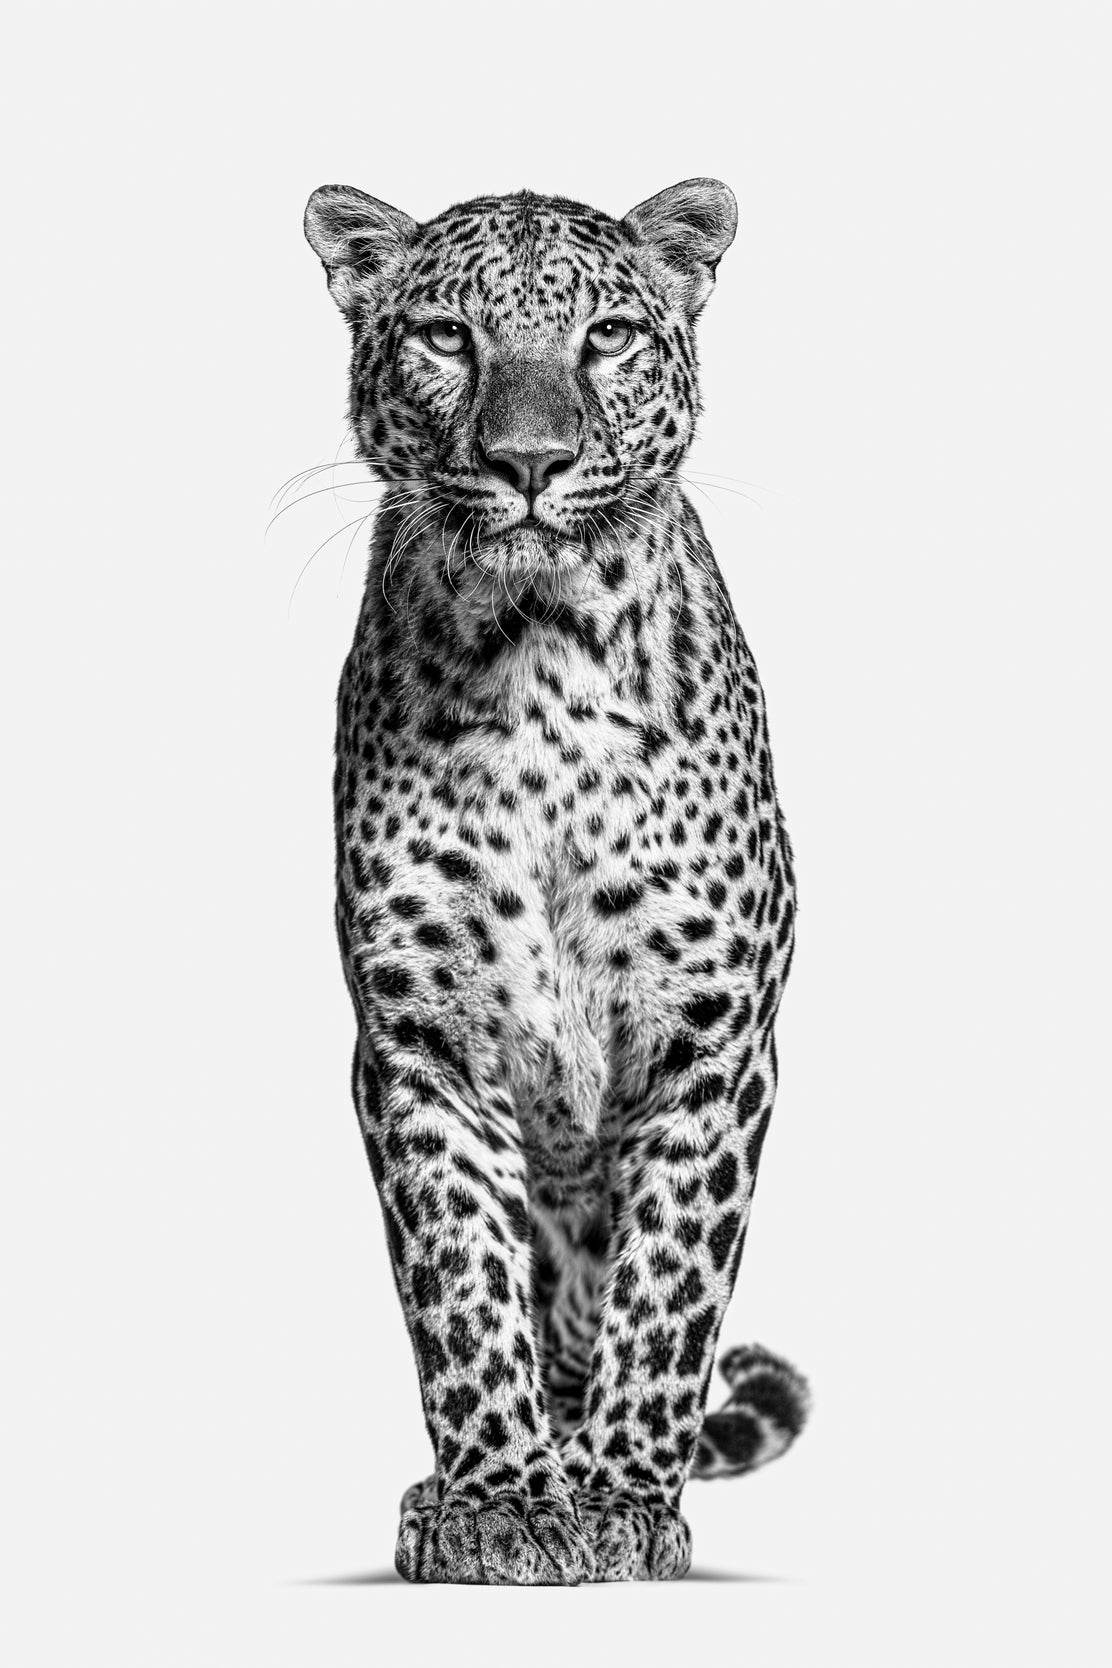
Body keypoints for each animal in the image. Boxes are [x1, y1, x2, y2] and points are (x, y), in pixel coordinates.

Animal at [301, 177, 810, 1585]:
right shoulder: (418, 1042)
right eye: (445, 337)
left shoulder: (712, 1046)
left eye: (607, 338)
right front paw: (499, 1503)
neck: (536, 664)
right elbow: (460, 1287)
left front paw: (624, 1499)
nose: (527, 464)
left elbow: (669, 1292)